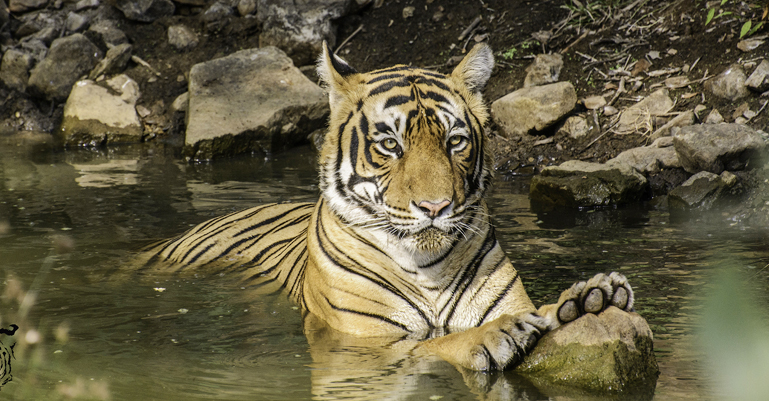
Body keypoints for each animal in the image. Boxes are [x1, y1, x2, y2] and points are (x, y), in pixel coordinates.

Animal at [140, 42, 636, 370]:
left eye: (455, 142)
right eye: (390, 145)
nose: (435, 206)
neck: (428, 268)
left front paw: (587, 299)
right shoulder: (363, 343)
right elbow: (431, 344)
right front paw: (496, 335)